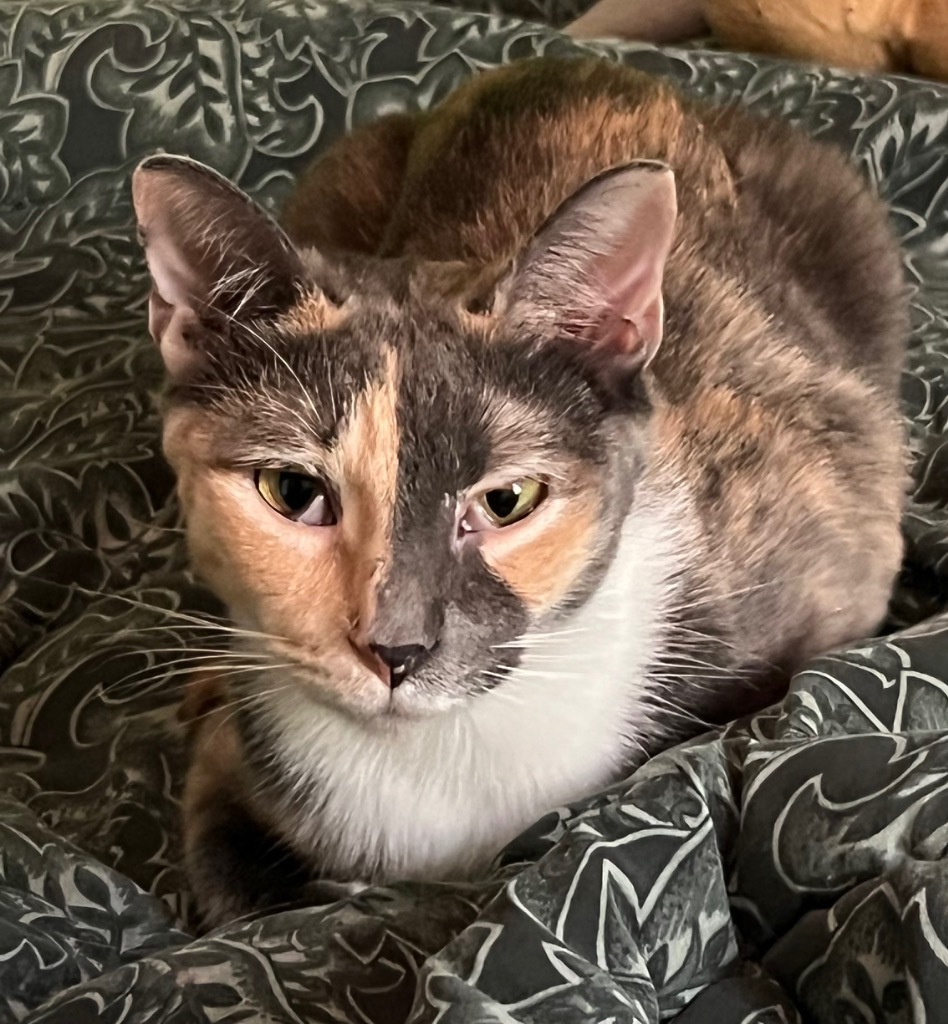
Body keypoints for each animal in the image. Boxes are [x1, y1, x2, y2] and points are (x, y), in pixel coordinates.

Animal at [130, 54, 909, 929]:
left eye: (507, 501)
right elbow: (238, 896)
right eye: (293, 491)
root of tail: (577, 63)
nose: (395, 649)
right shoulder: (233, 765)